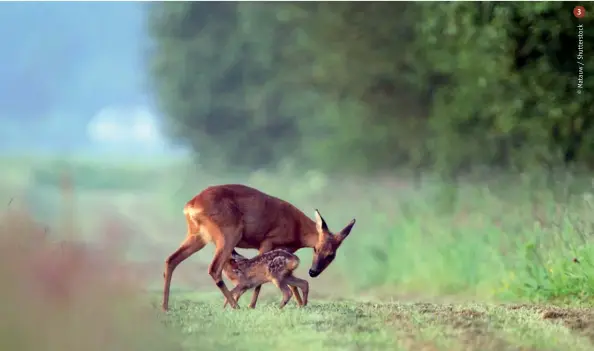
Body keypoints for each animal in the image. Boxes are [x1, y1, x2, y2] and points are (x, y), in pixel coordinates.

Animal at [160, 184, 354, 310]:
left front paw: (301, 305)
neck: (297, 229)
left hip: (197, 235)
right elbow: (261, 276)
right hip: (229, 233)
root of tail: (191, 205)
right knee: (214, 268)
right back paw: (235, 306)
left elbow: (290, 281)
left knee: (171, 259)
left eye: (332, 255)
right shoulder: (268, 241)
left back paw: (165, 306)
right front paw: (252, 306)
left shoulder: (286, 251)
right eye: (316, 249)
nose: (313, 271)